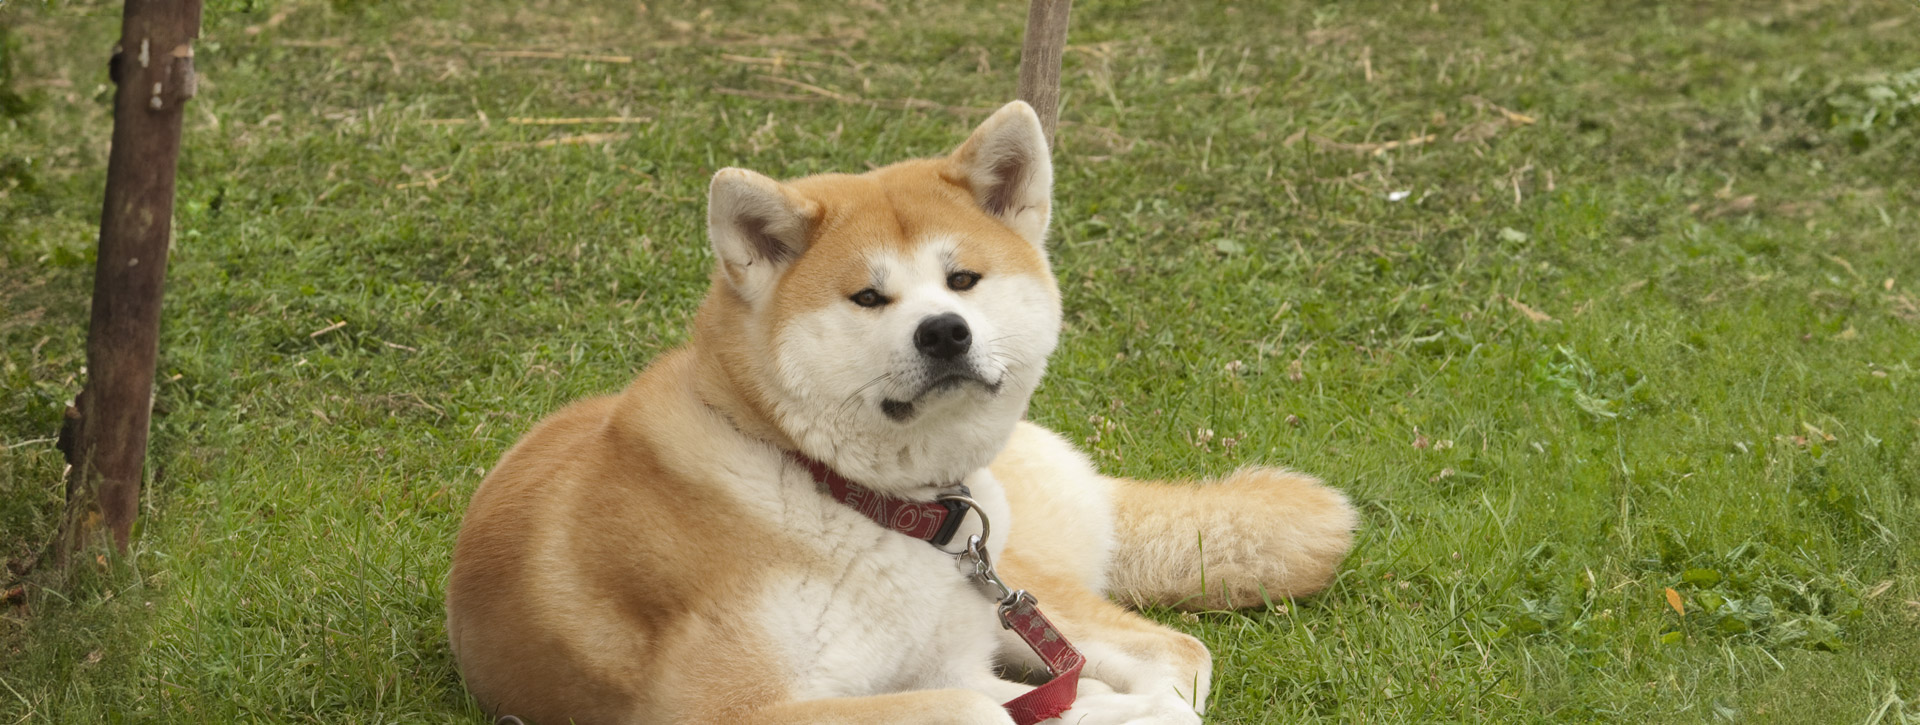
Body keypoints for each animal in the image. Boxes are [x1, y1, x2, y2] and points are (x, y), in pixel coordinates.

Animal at [443, 102, 1359, 725]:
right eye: (868, 296)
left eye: (962, 280)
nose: (945, 331)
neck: (846, 494)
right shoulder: (727, 707)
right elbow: (994, 709)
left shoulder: (953, 655)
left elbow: (1059, 696)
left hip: (1021, 590)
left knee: (1174, 650)